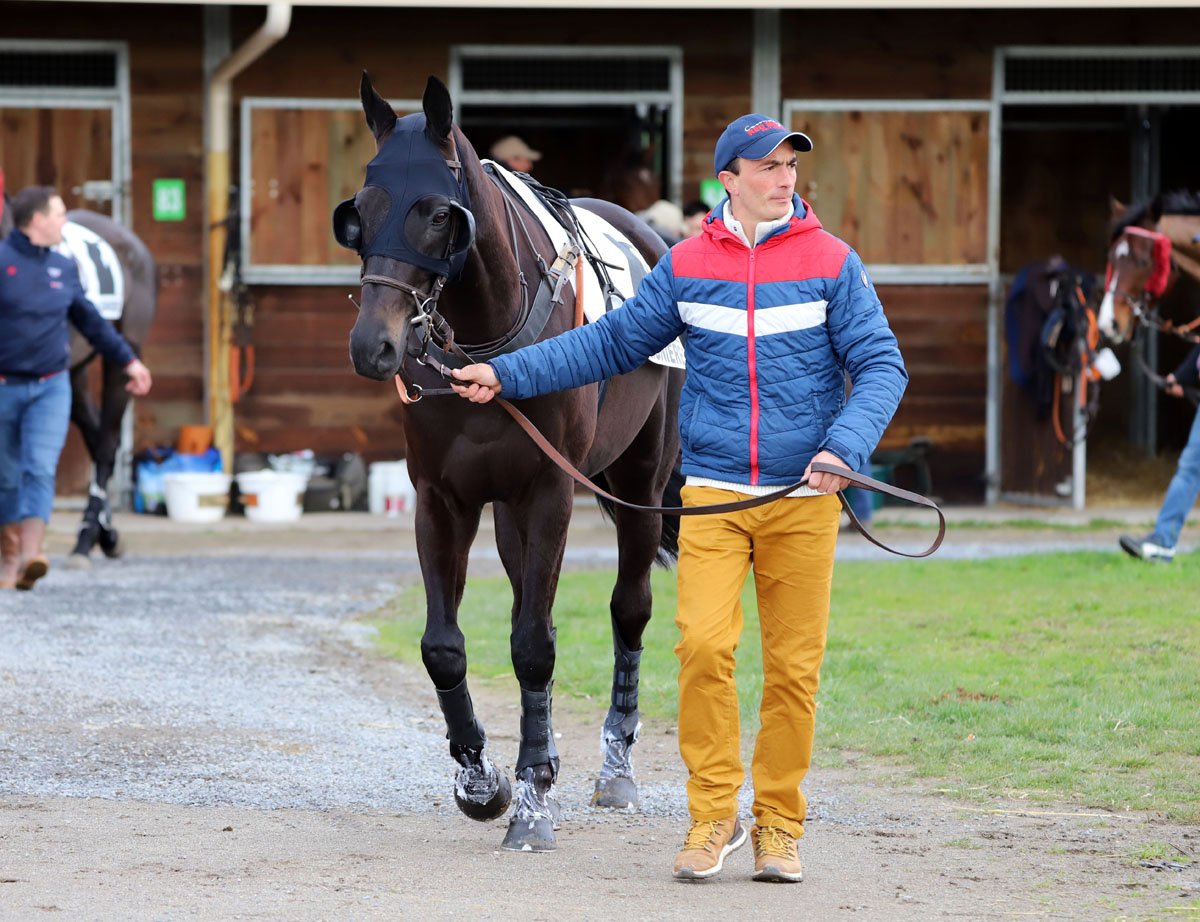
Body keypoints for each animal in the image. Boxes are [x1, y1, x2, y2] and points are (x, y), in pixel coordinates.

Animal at [337, 74, 684, 852]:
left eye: (438, 214)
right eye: (360, 211)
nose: (373, 345)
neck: (488, 347)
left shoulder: (552, 489)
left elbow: (532, 646)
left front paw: (530, 803)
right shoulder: (442, 497)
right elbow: (445, 646)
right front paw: (483, 780)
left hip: (637, 482)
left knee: (628, 608)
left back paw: (615, 767)